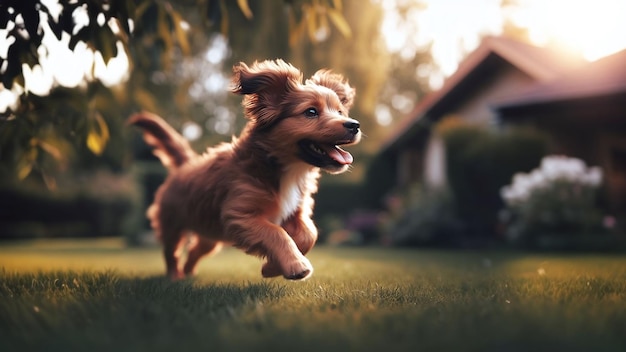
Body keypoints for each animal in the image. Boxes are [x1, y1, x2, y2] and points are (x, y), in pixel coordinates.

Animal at [129, 59, 358, 280]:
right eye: (311, 112)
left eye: (339, 111)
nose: (354, 125)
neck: (286, 169)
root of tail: (187, 165)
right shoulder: (240, 216)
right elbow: (276, 233)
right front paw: (294, 265)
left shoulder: (296, 211)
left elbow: (309, 234)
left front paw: (271, 268)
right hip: (173, 225)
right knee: (171, 252)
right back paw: (174, 276)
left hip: (209, 234)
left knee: (194, 251)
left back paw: (189, 274)